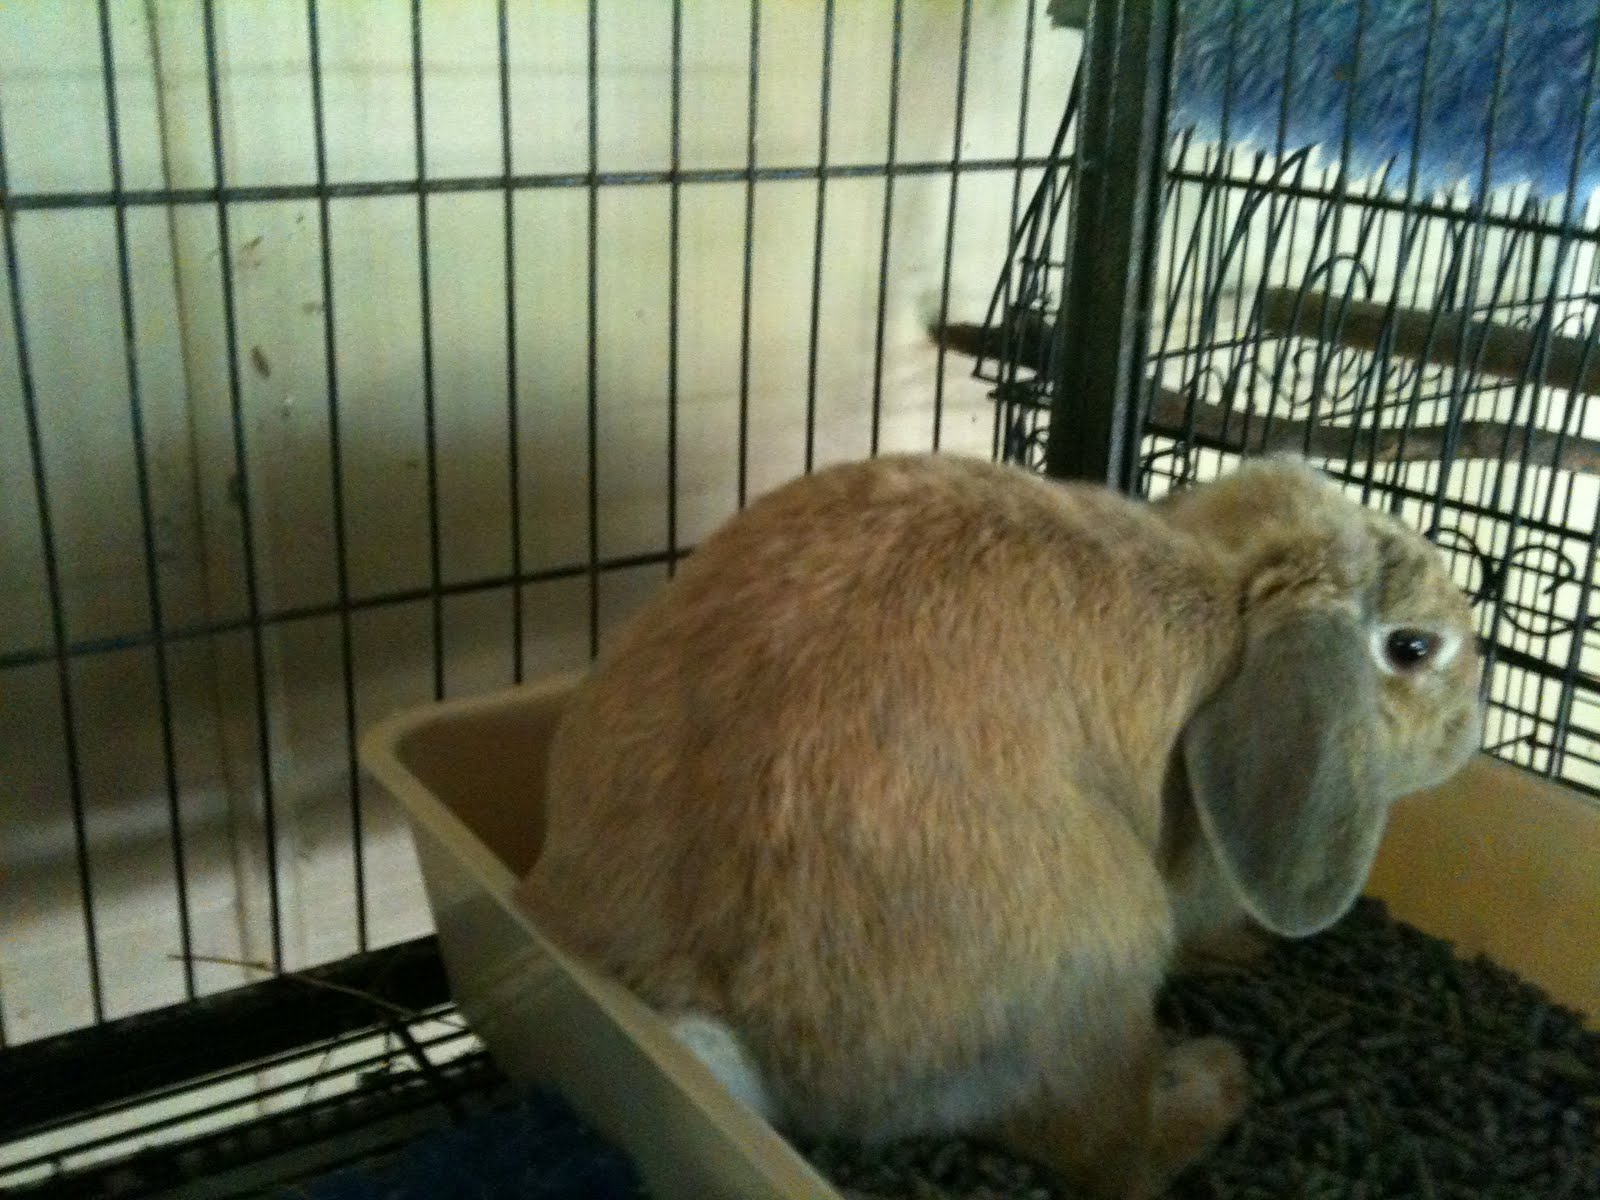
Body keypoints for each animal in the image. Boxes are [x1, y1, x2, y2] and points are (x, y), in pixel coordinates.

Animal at [514, 452, 1483, 1199]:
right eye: (1412, 648)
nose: (1470, 736)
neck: (1231, 586)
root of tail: (719, 1013)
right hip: (1108, 953)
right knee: (1112, 1160)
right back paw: (1216, 1080)